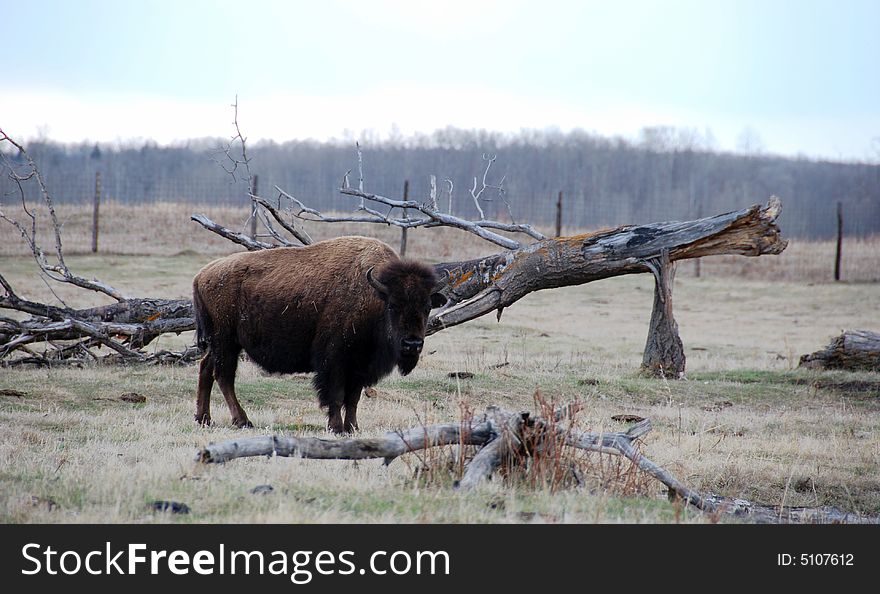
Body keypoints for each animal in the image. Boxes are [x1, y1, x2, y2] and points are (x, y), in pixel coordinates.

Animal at [190, 234, 444, 432]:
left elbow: (353, 397)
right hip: (226, 341)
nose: (412, 344)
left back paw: (204, 419)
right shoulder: (335, 359)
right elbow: (336, 394)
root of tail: (201, 275)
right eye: (393, 305)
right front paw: (336, 427)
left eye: (427, 306)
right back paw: (242, 421)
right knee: (224, 376)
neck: (373, 294)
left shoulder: (360, 364)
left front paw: (353, 427)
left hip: (221, 343)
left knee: (206, 368)